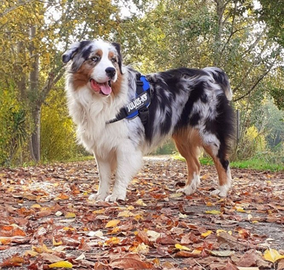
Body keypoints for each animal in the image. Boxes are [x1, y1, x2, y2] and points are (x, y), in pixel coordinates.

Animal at [62, 39, 235, 201]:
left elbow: (120, 173)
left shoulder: (125, 144)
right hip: (183, 139)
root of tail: (208, 73)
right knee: (195, 164)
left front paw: (116, 195)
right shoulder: (102, 143)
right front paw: (101, 196)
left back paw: (223, 190)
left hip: (208, 133)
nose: (111, 71)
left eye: (113, 60)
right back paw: (188, 189)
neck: (101, 100)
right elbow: (103, 176)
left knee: (222, 161)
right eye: (94, 58)